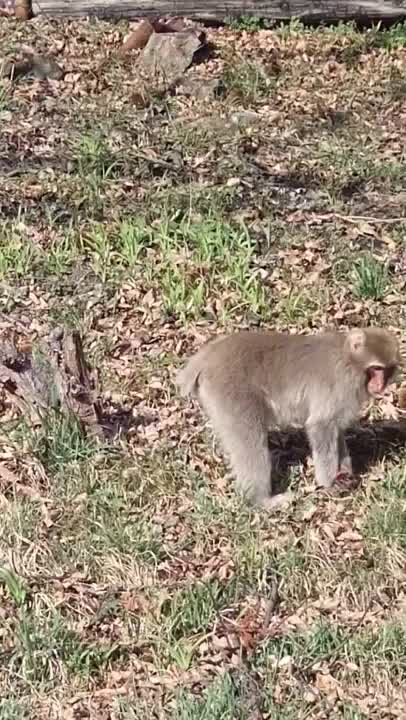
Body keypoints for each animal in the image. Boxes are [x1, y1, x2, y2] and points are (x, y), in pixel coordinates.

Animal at [177, 328, 400, 510]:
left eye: (387, 370)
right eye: (376, 369)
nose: (379, 385)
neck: (350, 360)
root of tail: (208, 356)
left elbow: (335, 429)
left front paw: (345, 470)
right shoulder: (342, 384)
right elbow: (321, 426)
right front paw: (329, 482)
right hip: (231, 392)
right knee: (250, 442)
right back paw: (260, 500)